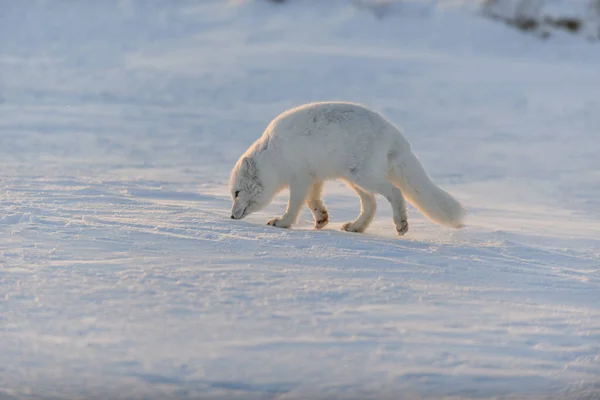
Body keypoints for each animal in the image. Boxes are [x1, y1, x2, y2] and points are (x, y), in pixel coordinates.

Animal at [229, 101, 464, 236]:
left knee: (394, 192)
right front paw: (321, 219)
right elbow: (313, 201)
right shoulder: (314, 177)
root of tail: (396, 136)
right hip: (352, 178)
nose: (231, 217)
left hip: (362, 176)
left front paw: (282, 222)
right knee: (371, 204)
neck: (273, 156)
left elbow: (294, 204)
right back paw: (356, 227)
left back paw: (401, 224)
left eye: (237, 193)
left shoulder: (300, 177)